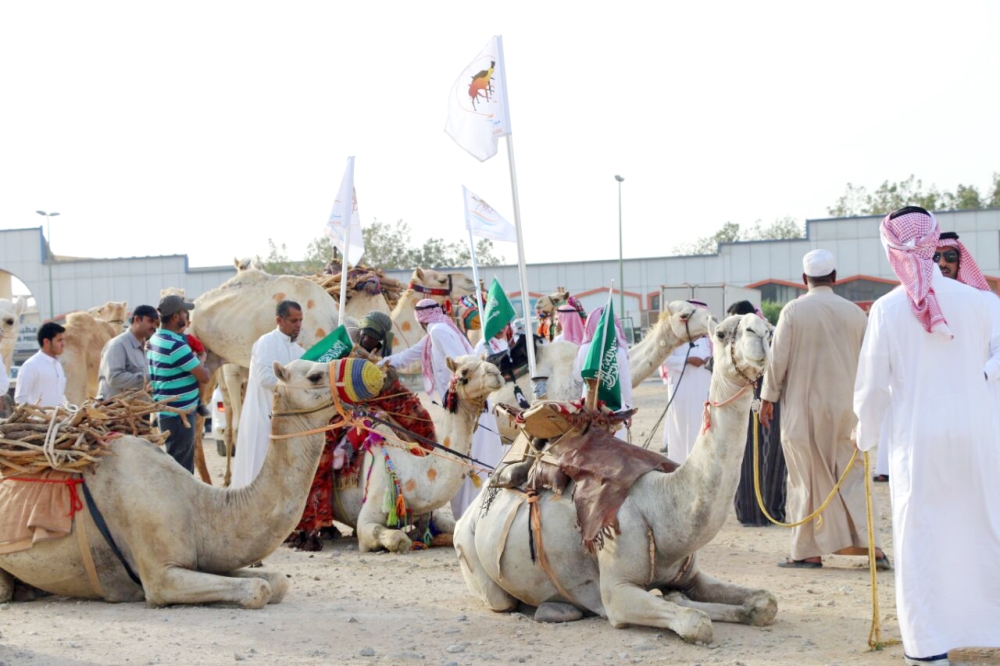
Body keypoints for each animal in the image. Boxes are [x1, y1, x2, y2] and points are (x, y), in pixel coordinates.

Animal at [0, 358, 364, 608]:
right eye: (315, 375)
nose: (361, 372)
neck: (198, 505)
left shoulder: (206, 559)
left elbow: (276, 581)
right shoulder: (160, 576)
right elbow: (258, 590)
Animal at [458, 314, 776, 640]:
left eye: (769, 330)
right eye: (722, 334)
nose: (759, 333)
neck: (661, 505)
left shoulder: (692, 576)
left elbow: (766, 602)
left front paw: (685, 597)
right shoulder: (617, 590)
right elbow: (695, 622)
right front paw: (683, 605)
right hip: (470, 554)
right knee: (503, 600)